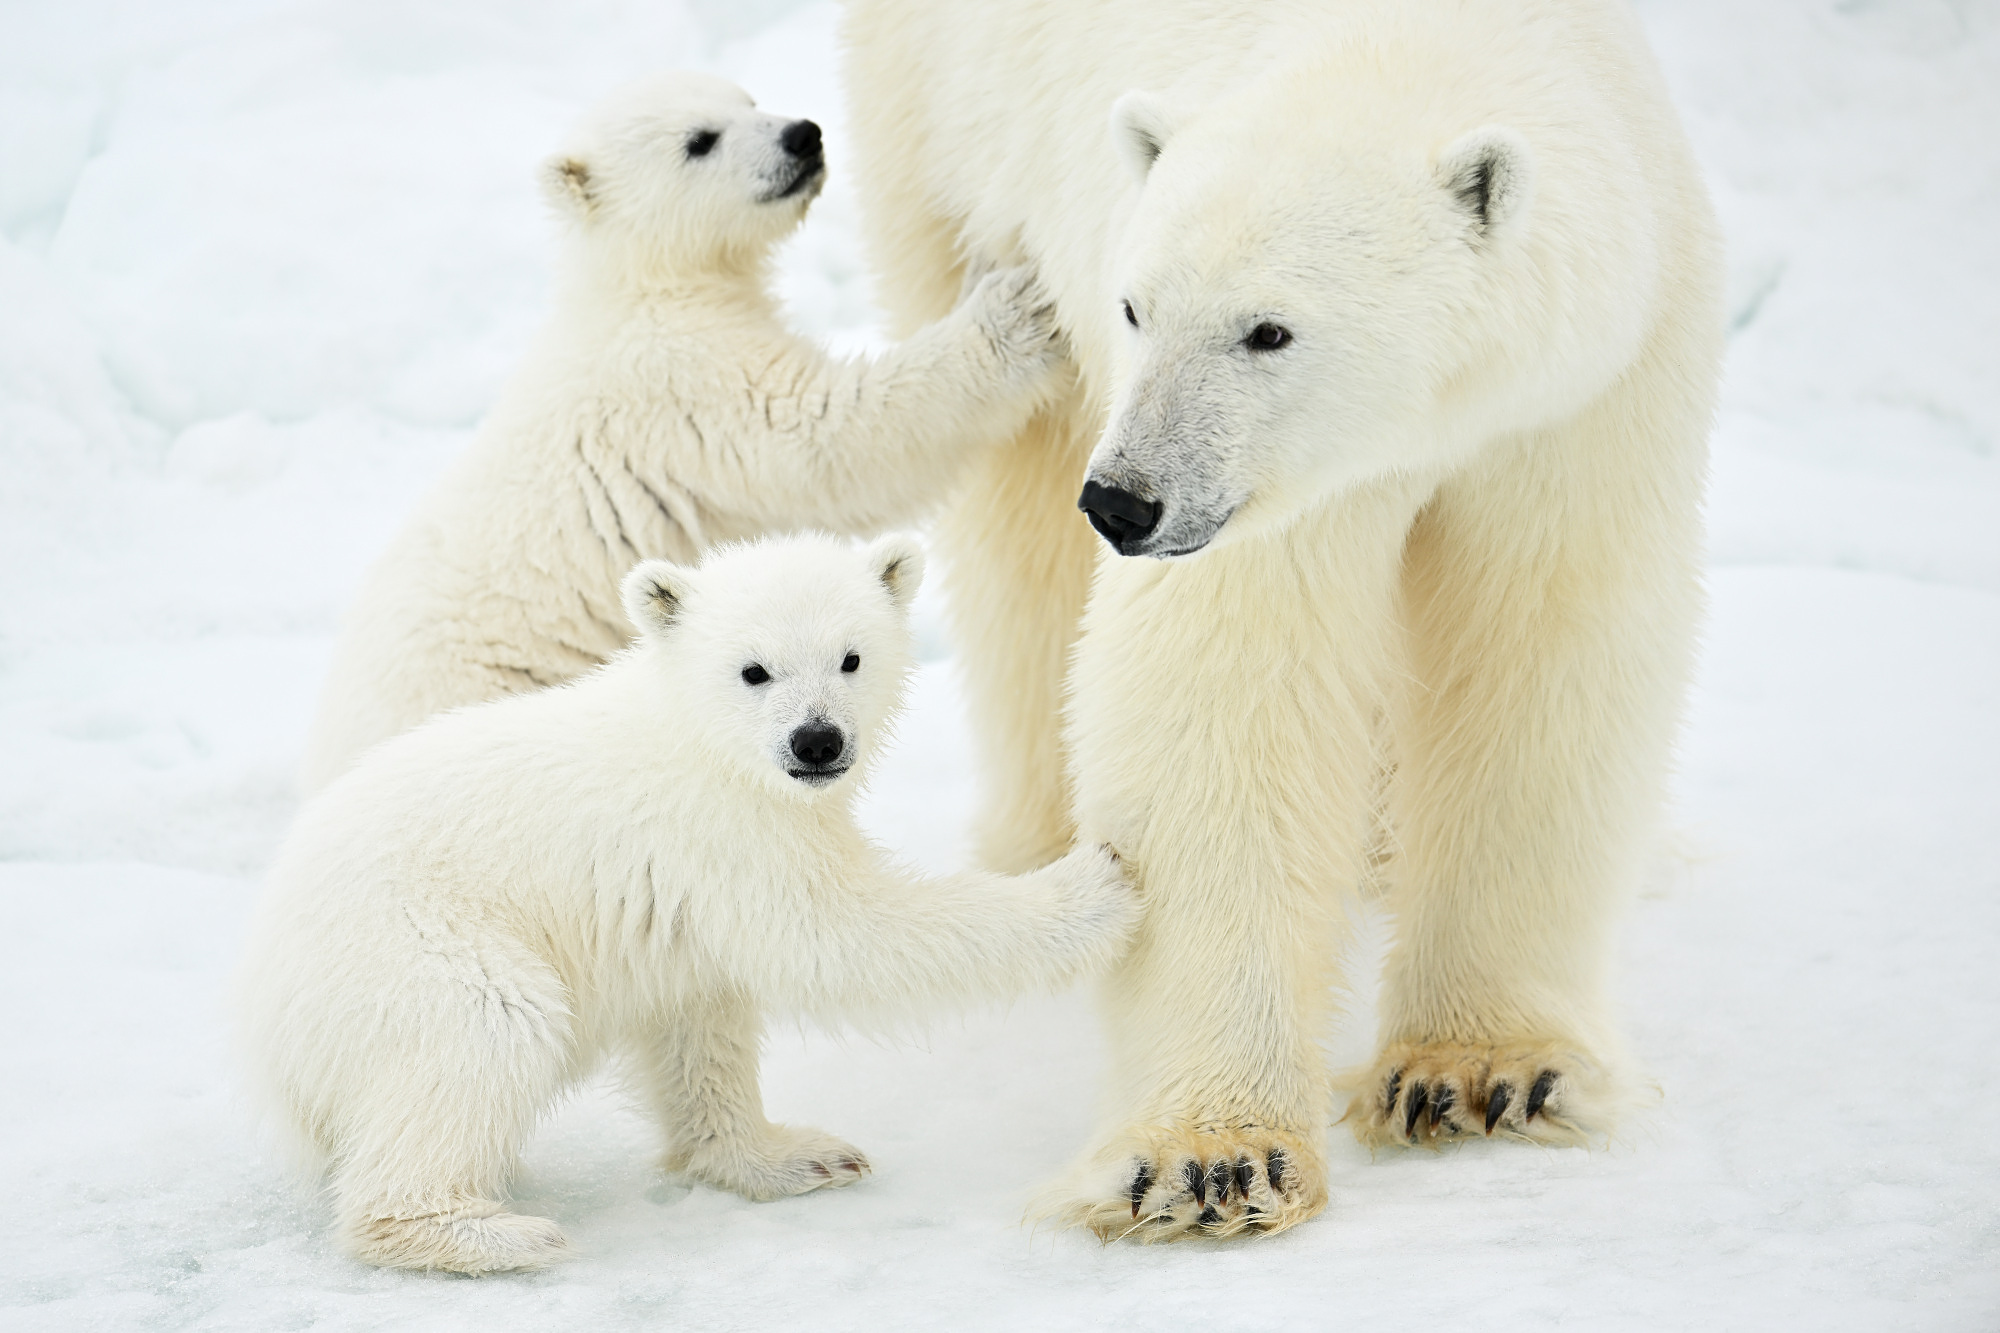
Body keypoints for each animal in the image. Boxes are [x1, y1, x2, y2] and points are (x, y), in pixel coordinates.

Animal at [242, 528, 1136, 1264]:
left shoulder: (679, 894)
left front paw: (792, 1154)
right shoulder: (723, 828)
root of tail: (269, 1036)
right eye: (754, 669)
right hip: (420, 950)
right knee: (487, 1028)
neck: (705, 738)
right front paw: (1096, 882)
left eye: (850, 657)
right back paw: (489, 1232)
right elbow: (839, 933)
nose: (817, 740)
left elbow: (695, 1016)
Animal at [300, 70, 1064, 788]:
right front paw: (1016, 308)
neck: (643, 288)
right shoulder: (681, 381)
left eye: (746, 99)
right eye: (700, 140)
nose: (803, 135)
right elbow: (822, 433)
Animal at [840, 0, 1720, 1232]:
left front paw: (1488, 1073)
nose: (1126, 500)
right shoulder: (1271, 496)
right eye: (1136, 305)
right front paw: (1209, 1160)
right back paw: (1045, 834)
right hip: (944, 156)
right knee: (1019, 522)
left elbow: (1540, 644)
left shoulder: (1589, 388)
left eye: (1268, 330)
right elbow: (1226, 687)